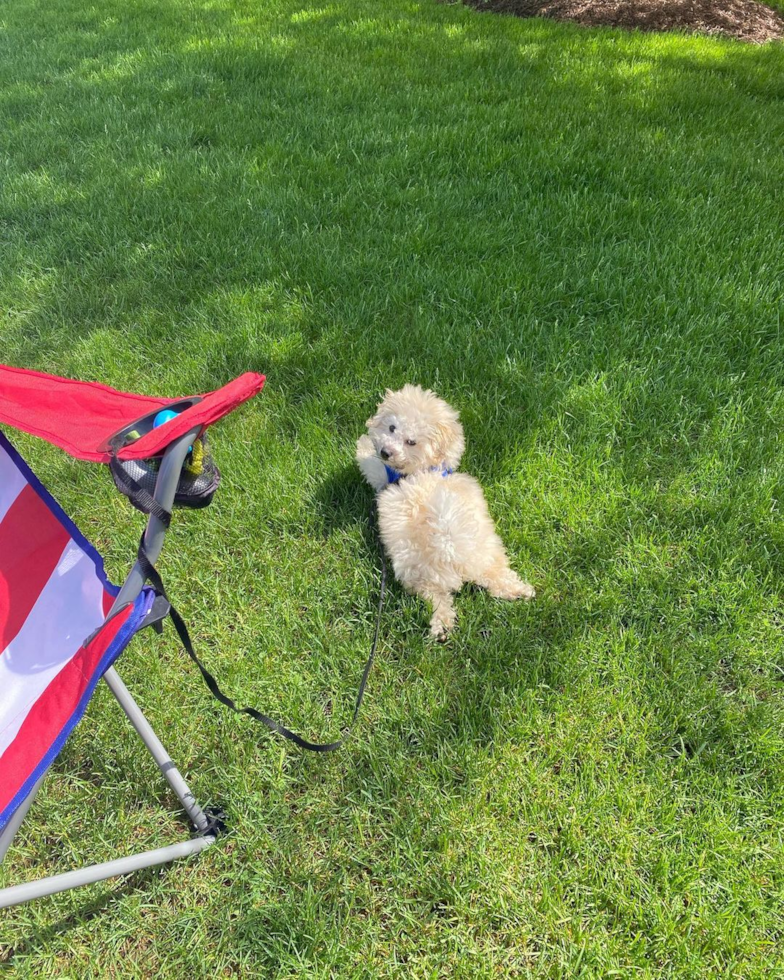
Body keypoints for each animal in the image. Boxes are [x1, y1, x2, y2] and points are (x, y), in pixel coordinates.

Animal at [358, 386, 536, 640]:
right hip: (490, 555)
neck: (427, 469)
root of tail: (455, 559)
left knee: (438, 600)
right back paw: (518, 590)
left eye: (411, 441)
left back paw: (440, 624)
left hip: (419, 576)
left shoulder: (383, 475)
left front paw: (364, 442)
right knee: (496, 578)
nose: (385, 452)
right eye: (392, 427)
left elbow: (367, 460)